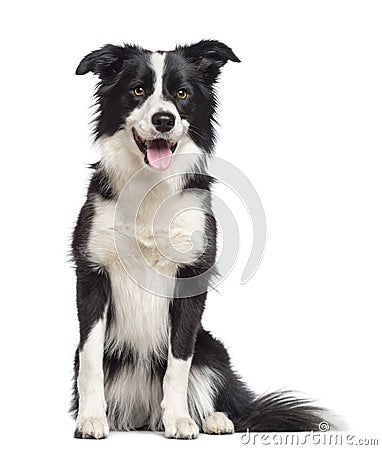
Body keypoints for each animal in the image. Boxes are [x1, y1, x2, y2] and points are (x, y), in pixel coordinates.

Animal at [70, 40, 326, 438]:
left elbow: (179, 362)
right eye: (138, 90)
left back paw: (214, 419)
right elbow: (91, 358)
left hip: (212, 348)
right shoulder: (92, 274)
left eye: (182, 94)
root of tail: (144, 414)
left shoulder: (190, 277)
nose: (164, 120)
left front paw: (178, 420)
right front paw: (91, 418)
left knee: (220, 395)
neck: (150, 186)